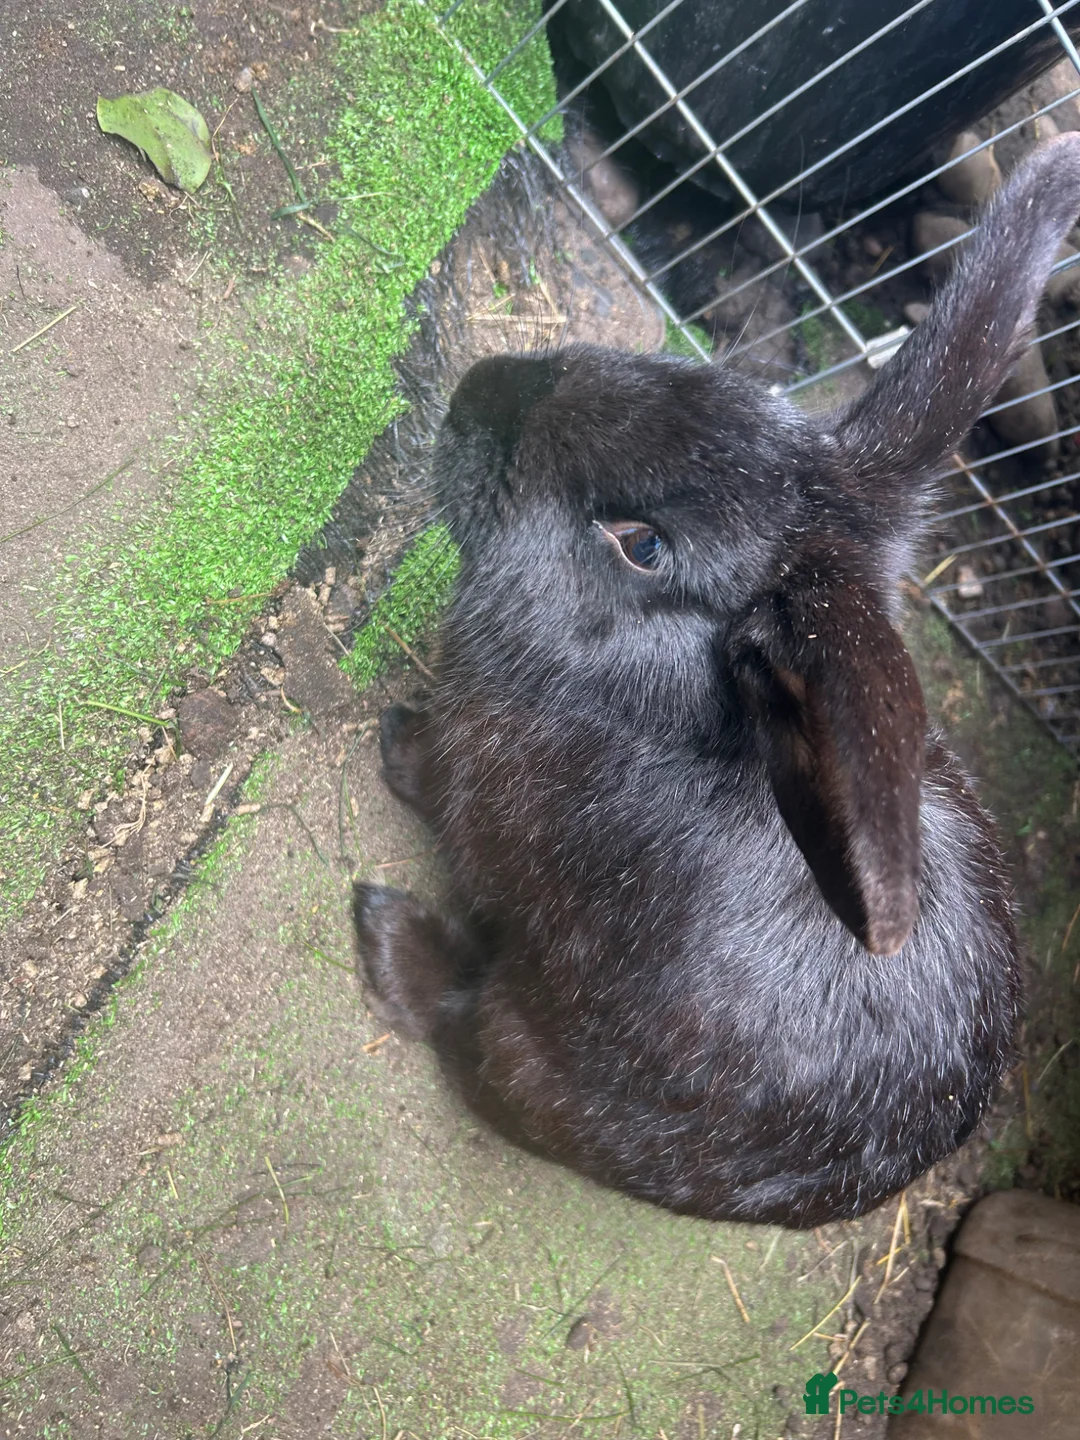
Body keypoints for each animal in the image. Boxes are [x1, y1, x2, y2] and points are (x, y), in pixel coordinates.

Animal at [353, 134, 1080, 1228]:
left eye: (642, 544)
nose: (482, 388)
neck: (632, 710)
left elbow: (438, 785)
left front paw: (396, 743)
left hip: (526, 1054)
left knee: (467, 1026)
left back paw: (388, 936)